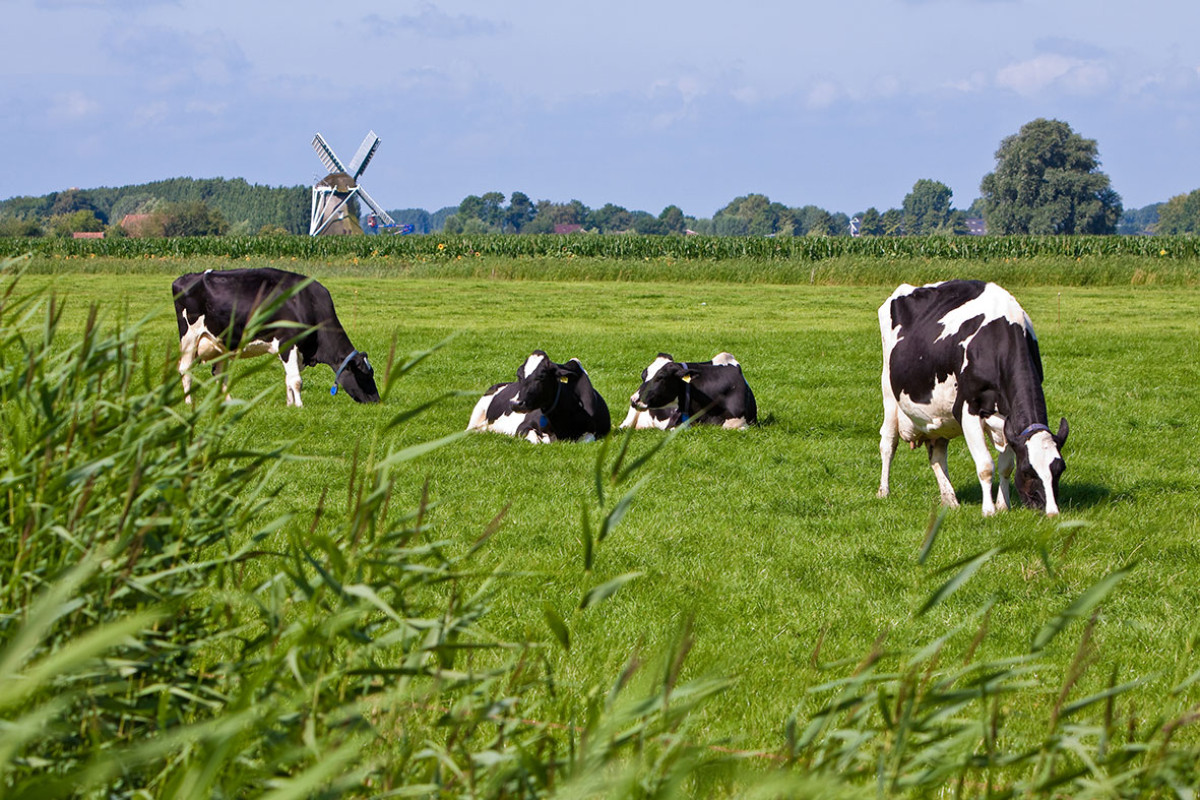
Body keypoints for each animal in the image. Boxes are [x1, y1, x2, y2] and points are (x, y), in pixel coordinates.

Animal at [172, 267, 379, 407]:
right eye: (365, 374)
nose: (377, 400)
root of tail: (184, 277)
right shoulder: (288, 343)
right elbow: (296, 380)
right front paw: (300, 406)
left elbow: (288, 378)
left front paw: (289, 405)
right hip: (189, 337)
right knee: (186, 369)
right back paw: (189, 402)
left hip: (220, 343)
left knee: (220, 374)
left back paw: (228, 403)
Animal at [465, 352, 609, 443]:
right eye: (519, 375)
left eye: (542, 376)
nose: (515, 403)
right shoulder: (522, 427)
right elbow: (536, 439)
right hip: (479, 409)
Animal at [873, 283, 1070, 520]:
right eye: (1028, 471)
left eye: (1060, 469)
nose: (1051, 512)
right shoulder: (968, 409)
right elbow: (985, 465)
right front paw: (989, 510)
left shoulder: (1008, 419)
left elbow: (1005, 466)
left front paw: (1003, 505)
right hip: (889, 393)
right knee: (888, 443)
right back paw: (883, 491)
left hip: (938, 416)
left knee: (937, 455)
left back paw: (950, 500)